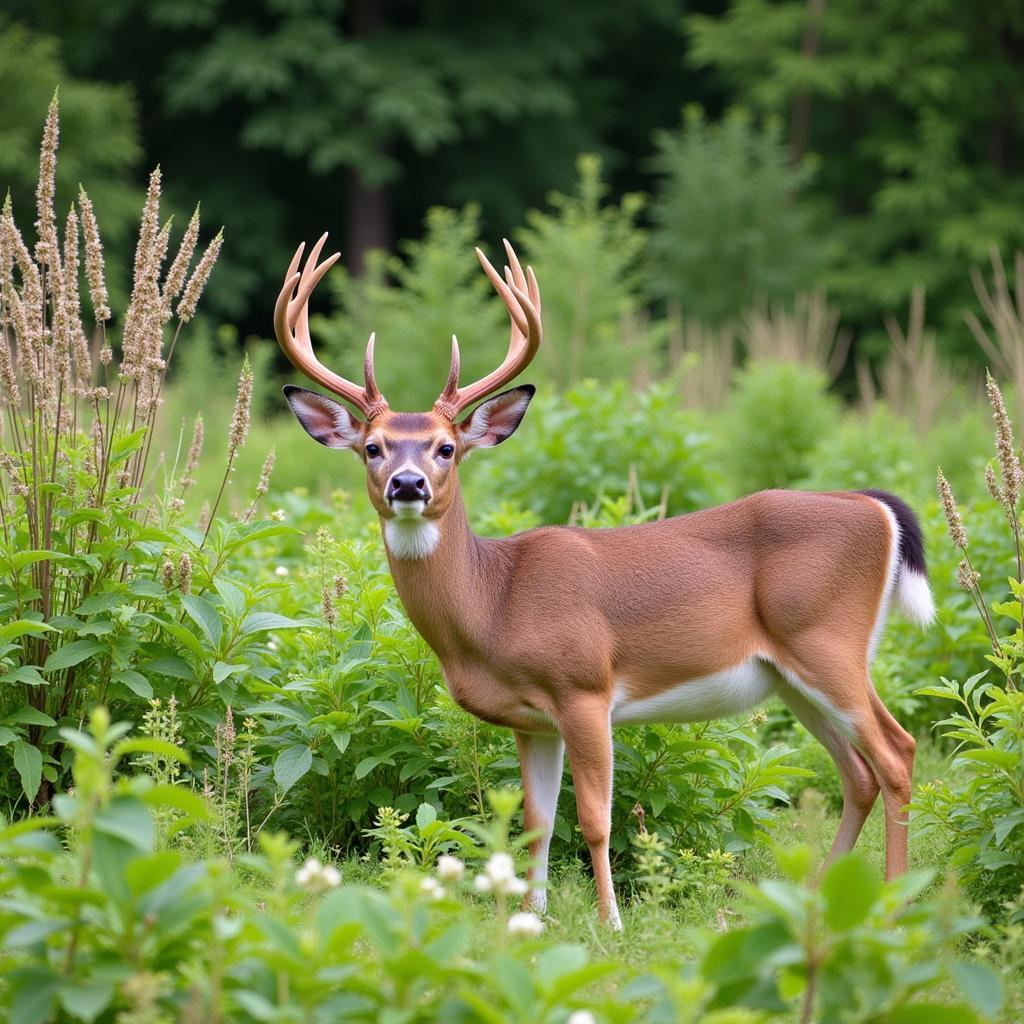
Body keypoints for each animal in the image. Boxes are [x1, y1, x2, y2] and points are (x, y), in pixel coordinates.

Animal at [274, 232, 937, 929]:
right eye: (372, 448)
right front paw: (530, 920)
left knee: (896, 753)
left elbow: (594, 819)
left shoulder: (585, 688)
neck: (494, 603)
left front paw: (610, 923)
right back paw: (820, 897)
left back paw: (892, 904)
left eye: (445, 447)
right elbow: (536, 822)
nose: (408, 484)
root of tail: (877, 508)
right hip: (791, 673)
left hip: (827, 641)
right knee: (858, 774)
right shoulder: (532, 720)